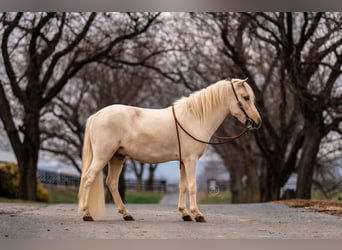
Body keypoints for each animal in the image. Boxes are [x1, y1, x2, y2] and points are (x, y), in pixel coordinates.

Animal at [79, 78, 260, 223]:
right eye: (246, 97)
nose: (257, 122)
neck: (195, 118)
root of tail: (96, 115)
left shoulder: (184, 161)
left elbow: (183, 186)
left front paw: (185, 214)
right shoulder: (191, 159)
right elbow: (192, 186)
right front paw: (197, 214)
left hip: (117, 157)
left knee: (112, 183)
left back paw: (126, 214)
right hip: (103, 157)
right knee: (88, 179)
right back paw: (87, 214)